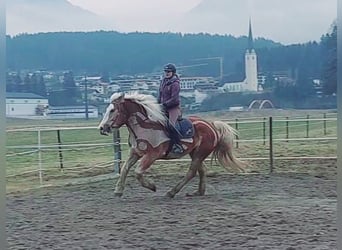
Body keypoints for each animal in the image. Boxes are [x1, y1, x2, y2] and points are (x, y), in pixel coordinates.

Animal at [97, 91, 244, 197]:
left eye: (112, 110)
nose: (102, 128)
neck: (144, 128)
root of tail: (212, 125)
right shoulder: (135, 153)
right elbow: (125, 169)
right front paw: (118, 191)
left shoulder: (152, 155)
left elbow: (138, 172)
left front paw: (152, 186)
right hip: (195, 153)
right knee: (201, 170)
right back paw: (198, 192)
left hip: (200, 153)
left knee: (191, 172)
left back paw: (172, 192)